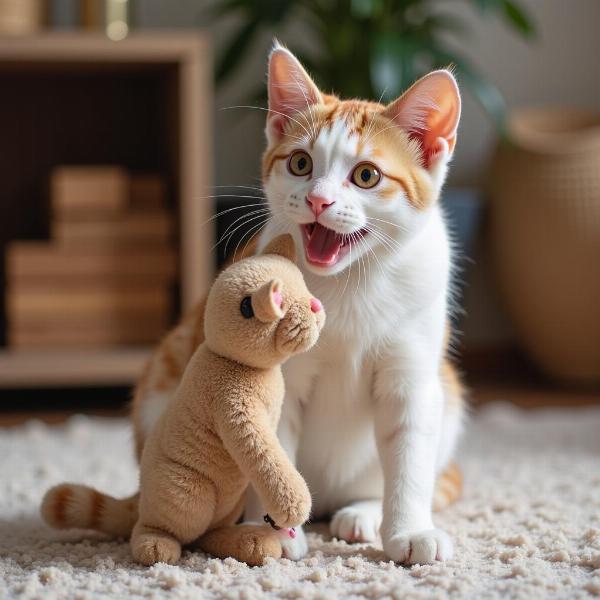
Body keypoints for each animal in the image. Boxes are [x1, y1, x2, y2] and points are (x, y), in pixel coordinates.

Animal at [43, 44, 464, 564]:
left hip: (448, 395)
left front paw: (409, 529)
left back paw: (361, 512)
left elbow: (409, 455)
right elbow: (267, 439)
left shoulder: (413, 374)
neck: (350, 285)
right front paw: (276, 530)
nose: (319, 201)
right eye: (300, 164)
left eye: (366, 175)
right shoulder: (276, 375)